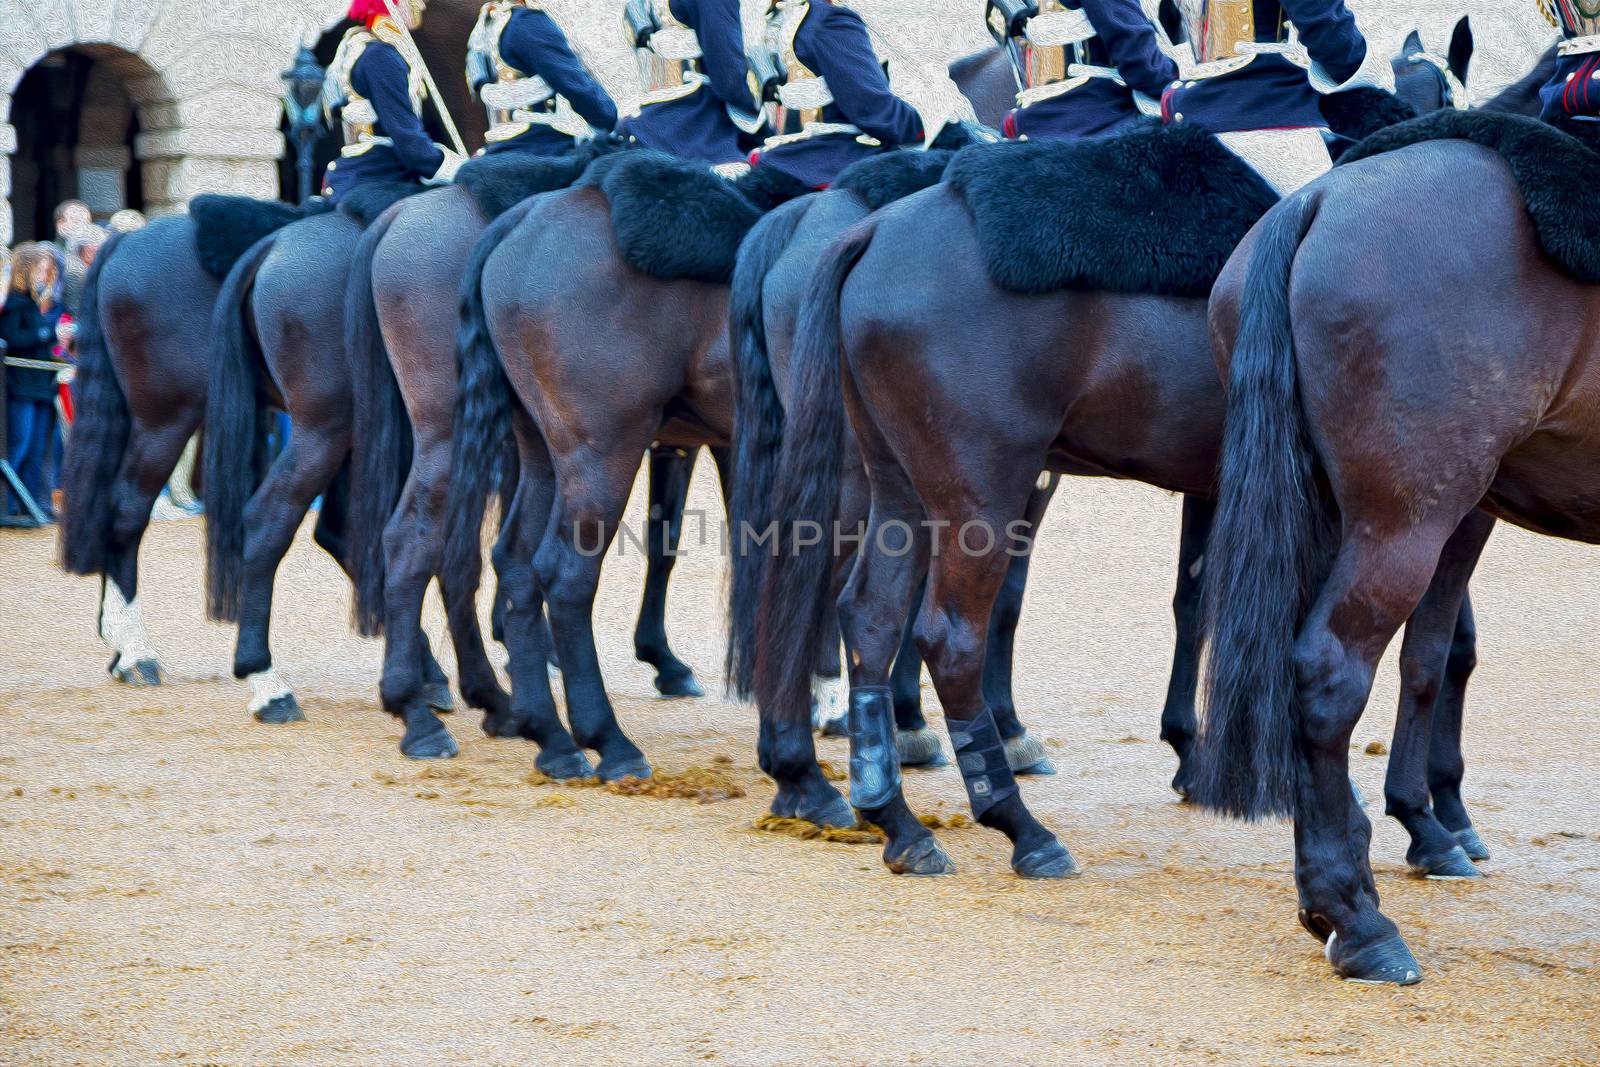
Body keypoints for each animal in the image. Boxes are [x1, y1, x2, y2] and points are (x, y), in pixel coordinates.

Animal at [748, 39, 1536, 876]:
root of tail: (870, 229)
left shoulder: (1254, 489)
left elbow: (1205, 603)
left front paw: (1207, 756)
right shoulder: (1431, 503)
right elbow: (1437, 649)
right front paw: (1431, 813)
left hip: (900, 486)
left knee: (867, 613)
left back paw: (891, 815)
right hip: (970, 495)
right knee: (940, 632)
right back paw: (1011, 822)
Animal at [1196, 62, 1580, 991]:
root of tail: (1319, 199)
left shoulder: (1472, 514)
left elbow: (1436, 653)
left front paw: (1433, 821)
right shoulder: (1452, 513)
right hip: (1403, 520)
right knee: (1326, 671)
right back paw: (1359, 917)